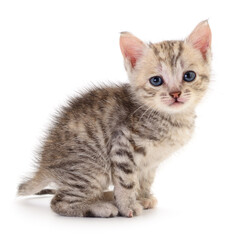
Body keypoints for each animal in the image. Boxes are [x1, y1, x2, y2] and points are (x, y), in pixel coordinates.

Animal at [17, 21, 211, 218]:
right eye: (156, 80)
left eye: (189, 76)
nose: (175, 94)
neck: (171, 118)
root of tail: (44, 165)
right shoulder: (123, 144)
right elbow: (126, 180)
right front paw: (128, 206)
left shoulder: (150, 163)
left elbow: (145, 180)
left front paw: (143, 197)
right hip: (90, 169)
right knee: (59, 202)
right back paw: (100, 207)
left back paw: (108, 196)